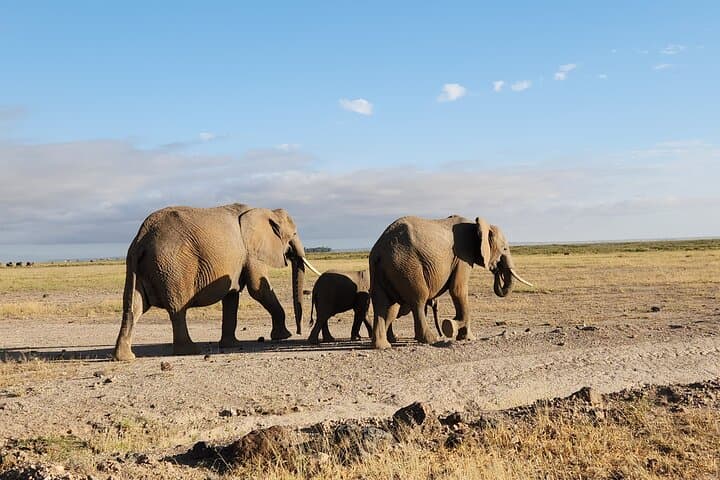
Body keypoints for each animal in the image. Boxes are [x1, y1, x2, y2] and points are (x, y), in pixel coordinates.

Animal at [112, 203, 321, 361]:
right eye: (294, 234)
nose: (300, 331)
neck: (265, 210)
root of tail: (141, 238)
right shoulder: (251, 252)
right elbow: (258, 290)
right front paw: (283, 336)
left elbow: (232, 295)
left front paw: (232, 345)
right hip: (172, 267)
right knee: (177, 309)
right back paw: (190, 351)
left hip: (138, 267)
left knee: (133, 306)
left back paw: (125, 357)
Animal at [308, 269, 441, 344]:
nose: (440, 335)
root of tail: (315, 287)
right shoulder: (363, 292)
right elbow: (362, 312)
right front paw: (357, 338)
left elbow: (364, 313)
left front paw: (360, 337)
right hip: (325, 295)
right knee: (323, 316)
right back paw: (315, 342)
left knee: (323, 317)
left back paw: (329, 340)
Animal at [369, 215, 532, 349]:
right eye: (504, 249)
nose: (496, 269)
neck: (476, 225)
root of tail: (379, 251)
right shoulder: (462, 256)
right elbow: (458, 289)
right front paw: (465, 336)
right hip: (407, 266)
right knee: (418, 300)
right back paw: (430, 339)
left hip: (382, 269)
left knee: (383, 304)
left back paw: (383, 345)